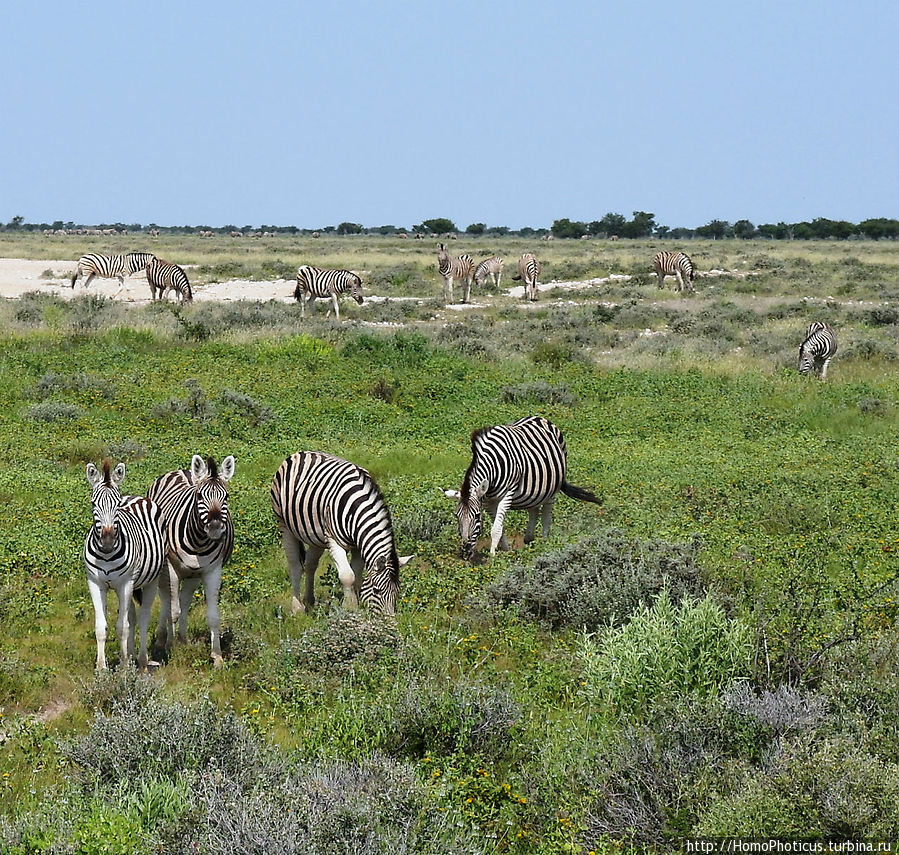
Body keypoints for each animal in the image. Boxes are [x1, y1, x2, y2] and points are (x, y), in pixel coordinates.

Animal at [83, 464, 168, 672]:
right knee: (133, 618)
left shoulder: (125, 584)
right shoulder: (95, 583)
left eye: (117, 505)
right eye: (93, 504)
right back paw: (131, 658)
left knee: (143, 619)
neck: (106, 554)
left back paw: (143, 662)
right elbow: (101, 626)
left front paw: (122, 669)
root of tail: (138, 498)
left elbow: (122, 627)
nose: (107, 541)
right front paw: (102, 668)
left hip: (149, 581)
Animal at [148, 454, 234, 668]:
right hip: (163, 569)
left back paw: (183, 638)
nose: (215, 528)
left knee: (184, 599)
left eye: (226, 497)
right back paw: (162, 641)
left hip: (193, 574)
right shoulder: (171, 568)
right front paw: (170, 648)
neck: (199, 542)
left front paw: (217, 656)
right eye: (200, 496)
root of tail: (183, 470)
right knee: (166, 600)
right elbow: (173, 610)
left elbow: (213, 615)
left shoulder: (212, 570)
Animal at [268, 452, 414, 620]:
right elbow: (347, 576)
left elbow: (356, 576)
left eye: (398, 591)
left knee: (310, 564)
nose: (389, 622)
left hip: (315, 535)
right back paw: (297, 608)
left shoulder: (359, 545)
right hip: (284, 525)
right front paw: (349, 608)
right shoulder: (334, 540)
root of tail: (299, 453)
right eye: (377, 590)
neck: (356, 510)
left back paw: (309, 602)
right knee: (295, 566)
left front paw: (356, 604)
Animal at [442, 416, 600, 560]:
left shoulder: (507, 494)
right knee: (534, 509)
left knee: (546, 515)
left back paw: (545, 543)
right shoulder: (487, 501)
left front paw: (493, 556)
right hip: (535, 489)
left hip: (553, 487)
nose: (465, 553)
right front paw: (506, 550)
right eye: (456, 516)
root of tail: (539, 417)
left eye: (477, 516)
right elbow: (499, 526)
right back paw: (529, 539)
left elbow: (496, 529)